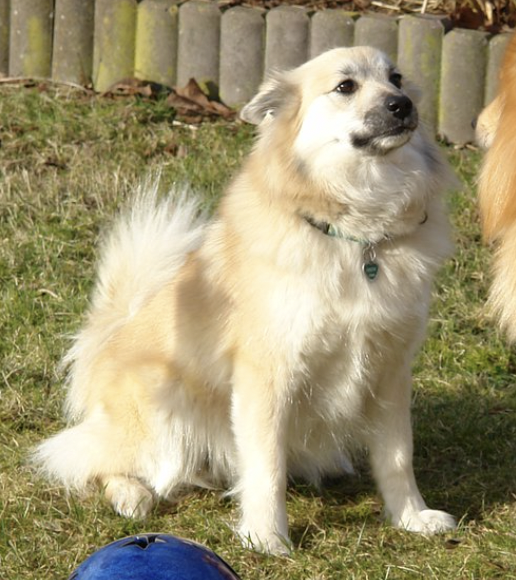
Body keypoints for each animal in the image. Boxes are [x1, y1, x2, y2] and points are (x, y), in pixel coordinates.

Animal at [35, 45, 456, 552]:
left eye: (396, 78)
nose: (402, 105)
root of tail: (103, 348)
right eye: (345, 86)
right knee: (87, 460)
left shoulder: (389, 370)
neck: (357, 234)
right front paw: (266, 536)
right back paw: (130, 494)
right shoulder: (267, 376)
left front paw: (412, 516)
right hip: (165, 405)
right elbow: (266, 465)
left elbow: (397, 455)